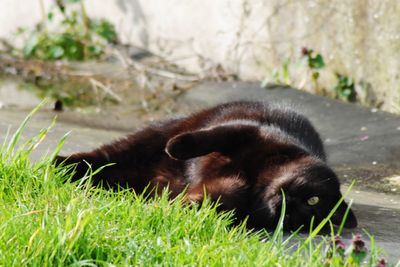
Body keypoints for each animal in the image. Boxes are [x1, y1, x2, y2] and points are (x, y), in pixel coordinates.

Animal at [55, 100, 356, 230]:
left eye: (310, 208)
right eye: (313, 198)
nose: (289, 204)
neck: (258, 180)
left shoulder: (228, 190)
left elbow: (211, 198)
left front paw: (165, 211)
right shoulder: (249, 131)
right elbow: (212, 136)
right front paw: (178, 147)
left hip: (136, 175)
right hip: (147, 140)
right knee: (107, 155)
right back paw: (60, 165)